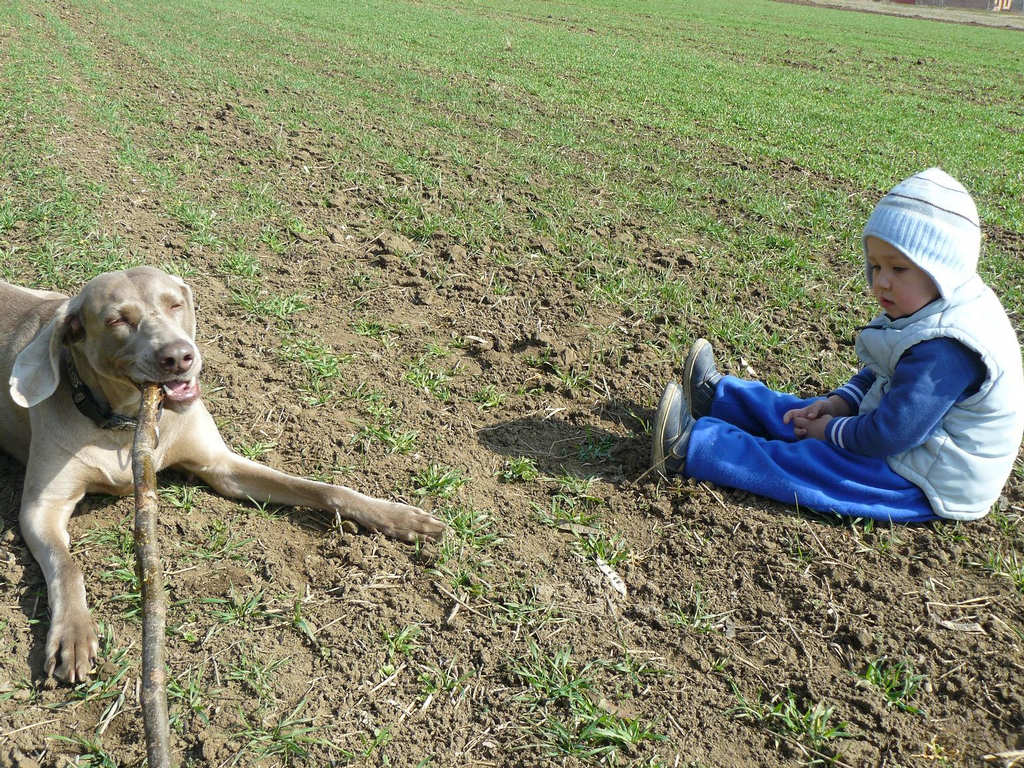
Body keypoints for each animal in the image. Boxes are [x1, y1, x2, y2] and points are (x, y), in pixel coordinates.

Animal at [3, 268, 444, 684]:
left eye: (175, 303)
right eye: (117, 320)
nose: (179, 356)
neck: (124, 425)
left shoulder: (222, 466)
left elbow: (322, 488)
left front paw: (399, 517)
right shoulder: (40, 508)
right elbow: (66, 565)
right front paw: (73, 634)